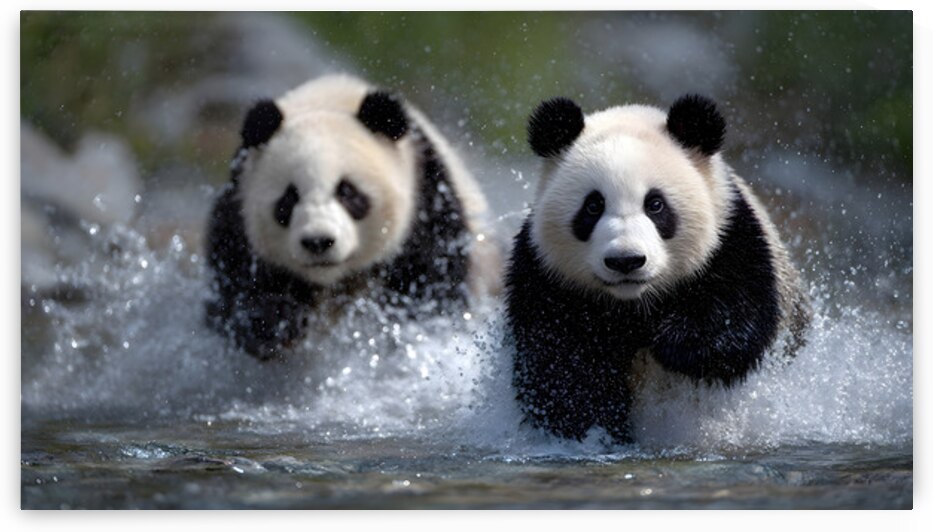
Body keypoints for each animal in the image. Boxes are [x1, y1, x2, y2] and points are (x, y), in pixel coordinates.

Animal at [205, 74, 500, 360]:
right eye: (289, 198)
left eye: (347, 192)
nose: (318, 242)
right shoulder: (237, 211)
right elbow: (237, 286)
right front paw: (275, 324)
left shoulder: (428, 197)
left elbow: (431, 280)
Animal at [506, 94, 811, 442]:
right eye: (593, 206)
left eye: (655, 204)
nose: (626, 260)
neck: (633, 302)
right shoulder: (548, 277)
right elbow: (560, 368)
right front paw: (598, 431)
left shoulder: (732, 239)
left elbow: (733, 322)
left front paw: (671, 341)